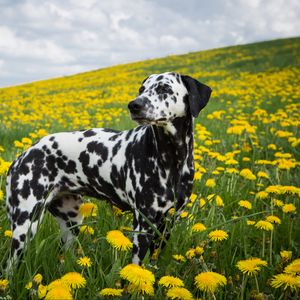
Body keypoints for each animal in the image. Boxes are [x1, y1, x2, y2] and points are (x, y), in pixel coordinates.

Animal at [4, 72, 211, 268]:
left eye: (164, 88)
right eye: (141, 89)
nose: (134, 105)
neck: (171, 159)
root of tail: (22, 157)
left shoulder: (167, 223)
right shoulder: (143, 225)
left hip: (71, 222)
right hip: (25, 227)